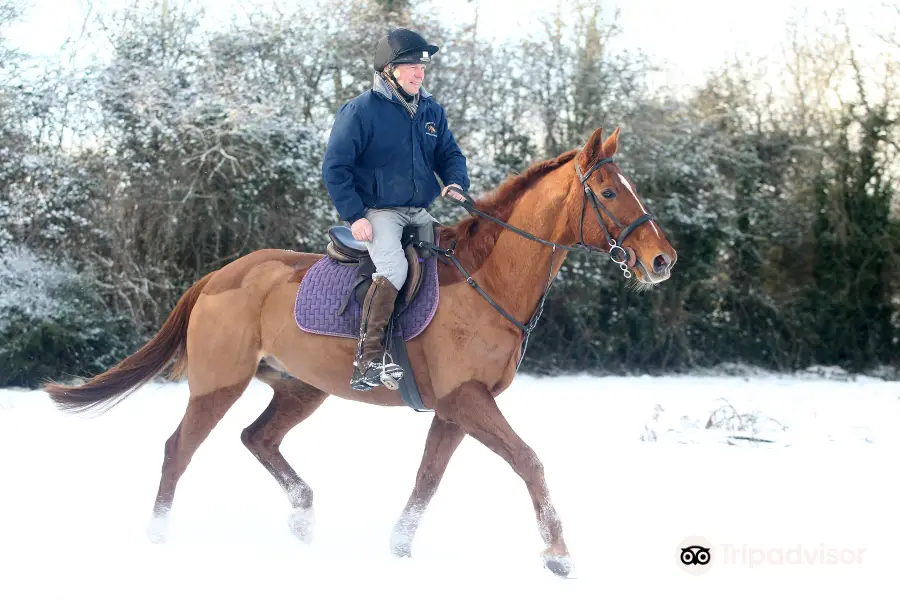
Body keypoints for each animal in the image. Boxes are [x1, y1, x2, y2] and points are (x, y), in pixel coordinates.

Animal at [42, 125, 676, 576]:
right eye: (609, 192)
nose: (662, 260)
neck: (486, 280)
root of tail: (219, 276)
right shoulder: (467, 400)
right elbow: (529, 461)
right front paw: (558, 554)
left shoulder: (454, 410)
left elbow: (428, 477)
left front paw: (399, 547)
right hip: (220, 385)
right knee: (179, 449)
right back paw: (158, 536)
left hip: (301, 389)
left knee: (257, 438)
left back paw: (302, 517)